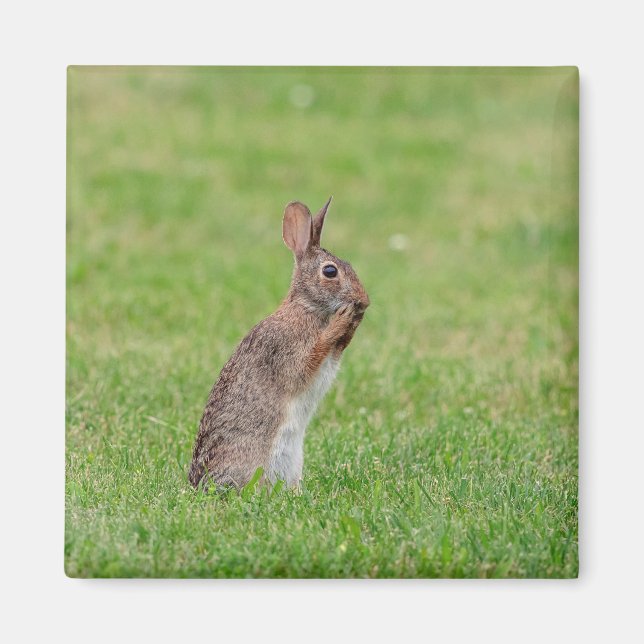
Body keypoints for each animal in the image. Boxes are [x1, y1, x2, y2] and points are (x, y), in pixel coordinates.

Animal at [188, 197, 369, 490]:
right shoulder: (286, 350)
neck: (306, 308)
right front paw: (343, 319)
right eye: (330, 271)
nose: (364, 300)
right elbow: (310, 360)